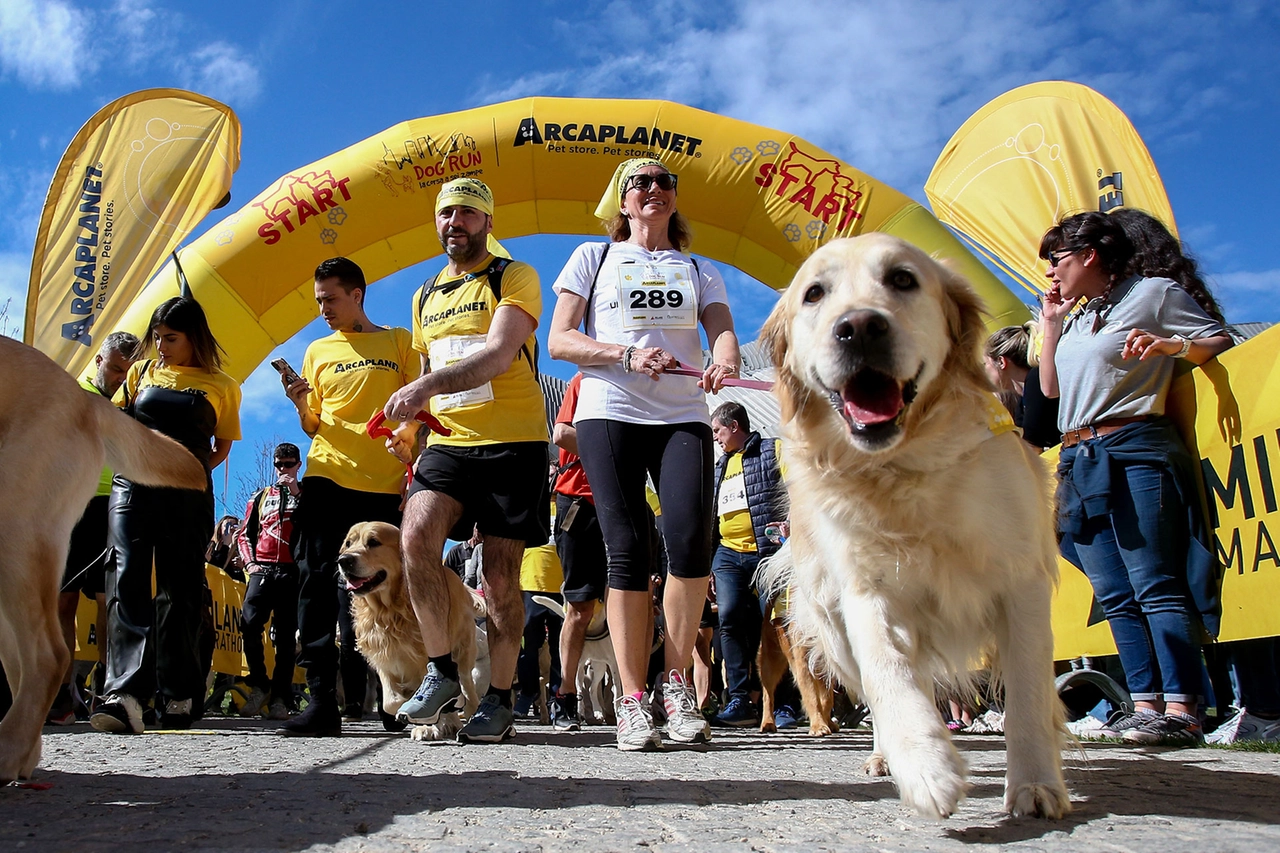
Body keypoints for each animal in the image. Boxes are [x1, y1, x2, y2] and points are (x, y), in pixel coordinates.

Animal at [757, 233, 1070, 819]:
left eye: (903, 279)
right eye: (815, 293)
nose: (859, 326)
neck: (904, 468)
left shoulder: (1023, 585)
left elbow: (1028, 693)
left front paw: (1036, 783)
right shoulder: (866, 591)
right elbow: (889, 674)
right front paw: (926, 767)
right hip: (830, 624)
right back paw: (887, 755)